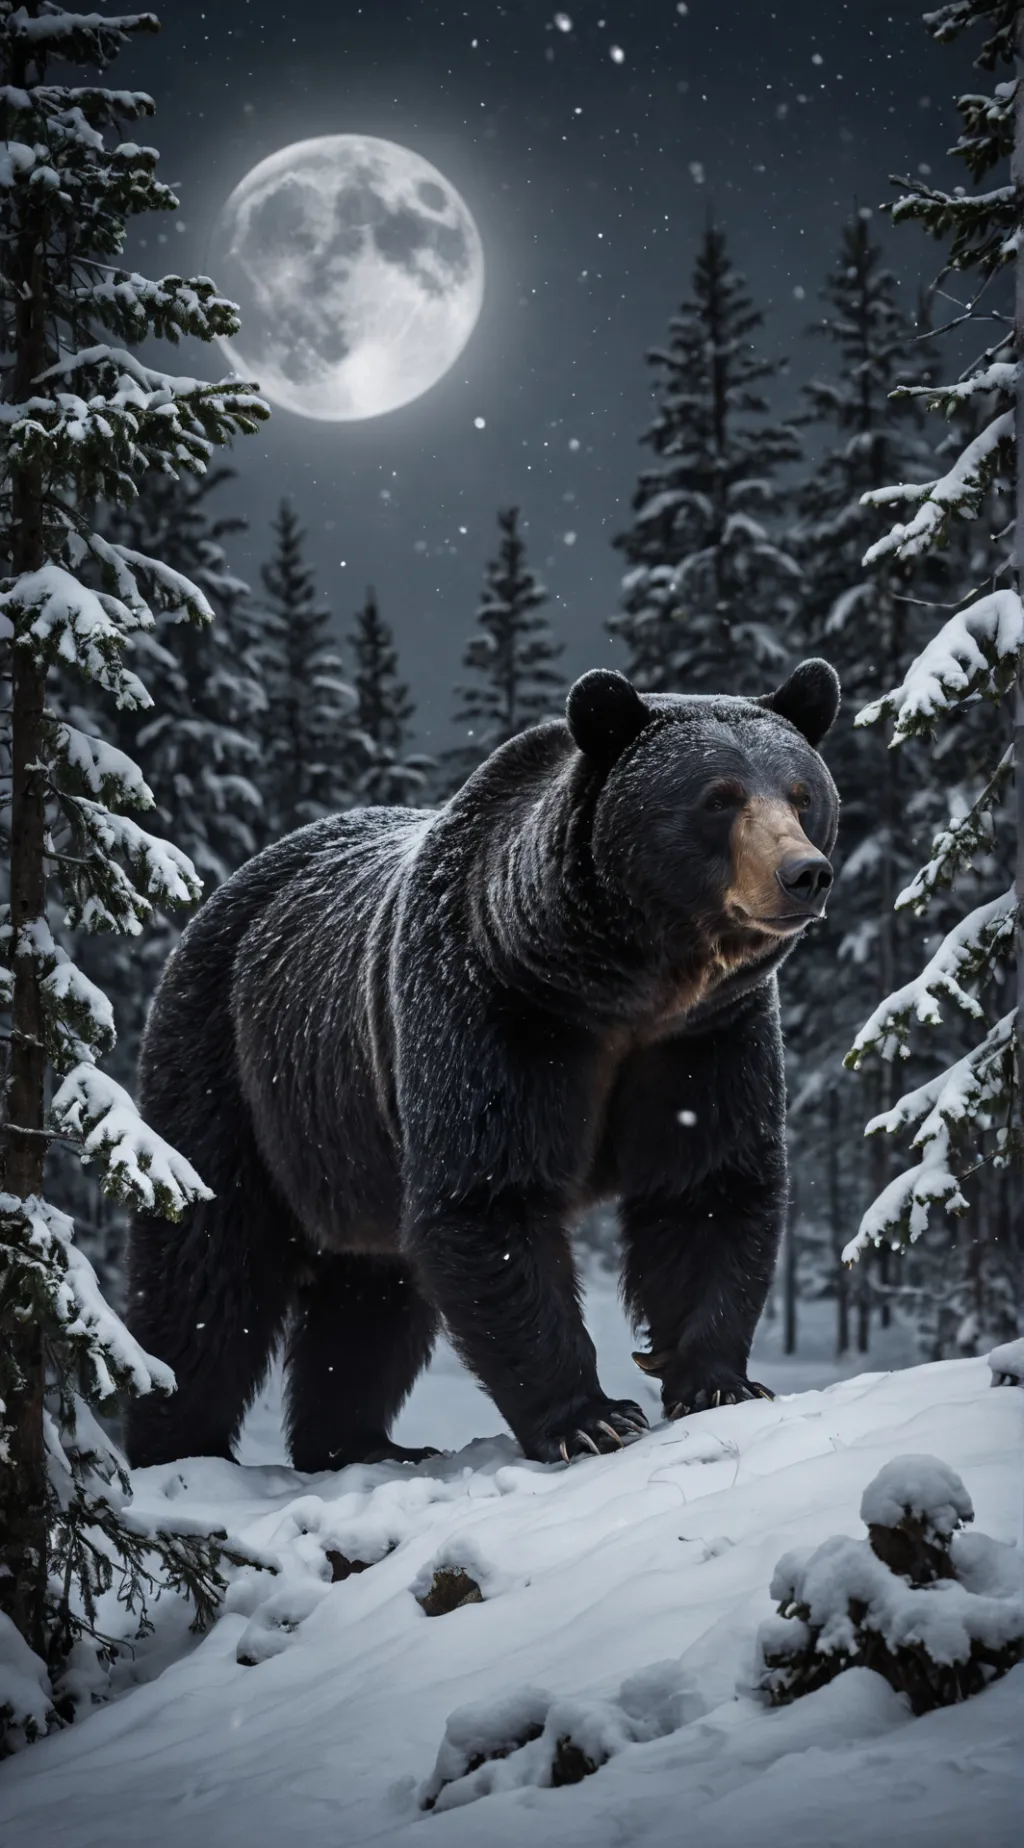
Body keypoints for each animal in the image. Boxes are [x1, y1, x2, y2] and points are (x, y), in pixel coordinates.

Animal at [124, 658, 840, 1471]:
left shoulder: (707, 1037)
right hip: (232, 1067)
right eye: (718, 799)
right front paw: (591, 1419)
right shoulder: (493, 1011)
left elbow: (708, 1185)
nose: (803, 873)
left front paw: (717, 1382)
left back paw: (357, 1444)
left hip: (352, 1145)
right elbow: (490, 1198)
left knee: (371, 1293)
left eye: (802, 794)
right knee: (206, 1269)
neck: (629, 987)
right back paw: (178, 1446)